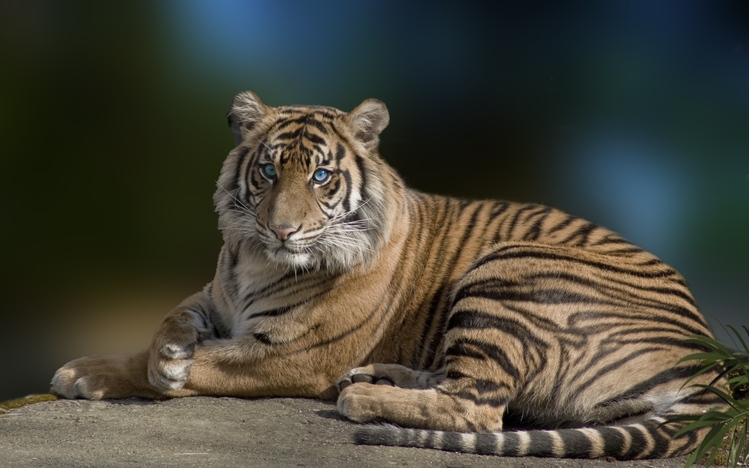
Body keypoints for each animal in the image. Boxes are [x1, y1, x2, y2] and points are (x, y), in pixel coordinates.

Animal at [51, 90, 723, 460]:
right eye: (267, 171)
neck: (254, 259)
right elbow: (170, 318)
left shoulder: (288, 355)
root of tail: (711, 361)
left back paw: (363, 397)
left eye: (321, 177)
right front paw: (162, 352)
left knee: (480, 407)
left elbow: (186, 364)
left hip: (508, 266)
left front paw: (91, 372)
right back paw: (380, 376)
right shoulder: (214, 298)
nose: (282, 231)